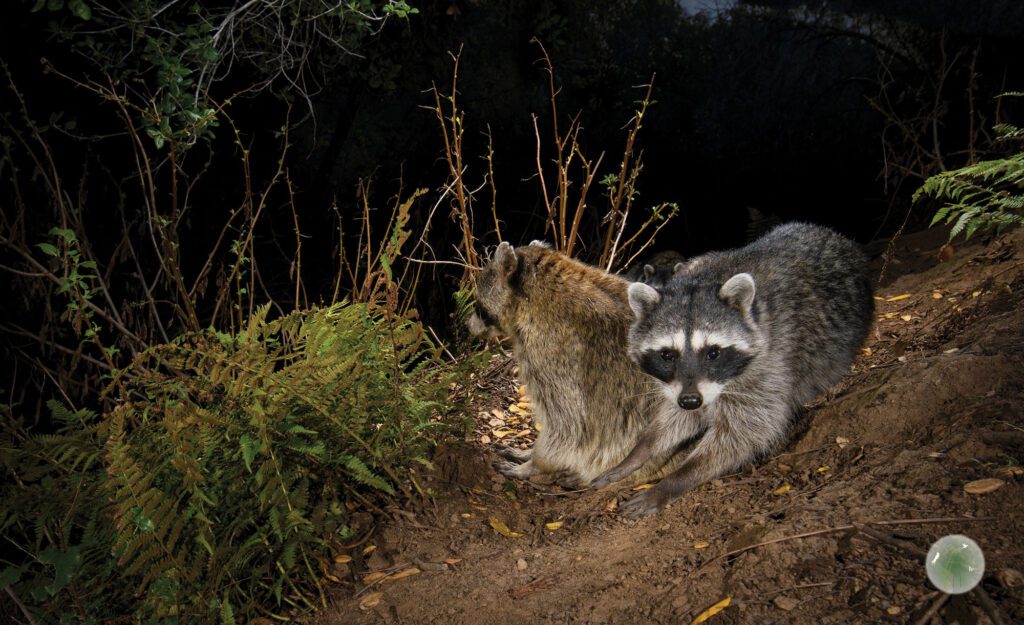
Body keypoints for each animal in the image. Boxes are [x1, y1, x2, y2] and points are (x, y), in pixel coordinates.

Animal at [469, 241, 675, 486]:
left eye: (478, 305)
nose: (467, 325)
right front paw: (530, 453)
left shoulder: (552, 355)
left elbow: (568, 425)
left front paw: (535, 463)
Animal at [591, 222, 874, 516]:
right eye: (667, 355)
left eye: (713, 353)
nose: (690, 400)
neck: (702, 281)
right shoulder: (683, 385)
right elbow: (677, 416)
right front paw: (641, 449)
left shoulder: (771, 359)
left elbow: (746, 432)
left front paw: (675, 480)